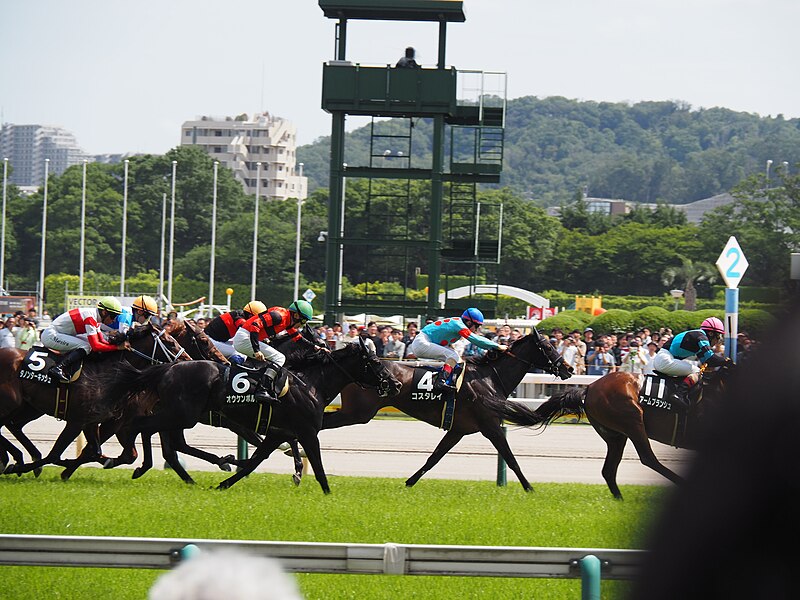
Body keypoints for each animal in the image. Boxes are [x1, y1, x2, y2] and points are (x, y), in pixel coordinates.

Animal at [0, 324, 189, 478]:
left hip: (27, 407)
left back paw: (18, 457)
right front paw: (19, 468)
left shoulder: (94, 421)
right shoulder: (79, 421)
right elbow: (56, 454)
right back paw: (15, 459)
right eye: (170, 342)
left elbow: (97, 451)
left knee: (13, 425)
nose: (187, 360)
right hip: (12, 404)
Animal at [100, 340, 400, 490]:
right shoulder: (307, 432)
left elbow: (257, 460)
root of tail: (167, 367)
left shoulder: (279, 432)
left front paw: (225, 482)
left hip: (179, 414)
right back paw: (129, 459)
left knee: (166, 441)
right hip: (182, 414)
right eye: (374, 362)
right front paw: (326, 493)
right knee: (141, 426)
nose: (395, 383)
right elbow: (317, 465)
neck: (311, 384)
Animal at [322, 332, 572, 492]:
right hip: (358, 413)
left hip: (355, 413)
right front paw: (529, 488)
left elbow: (434, 457)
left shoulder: (458, 430)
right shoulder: (490, 426)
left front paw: (409, 482)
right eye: (548, 347)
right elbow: (511, 459)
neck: (489, 379)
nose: (568, 368)